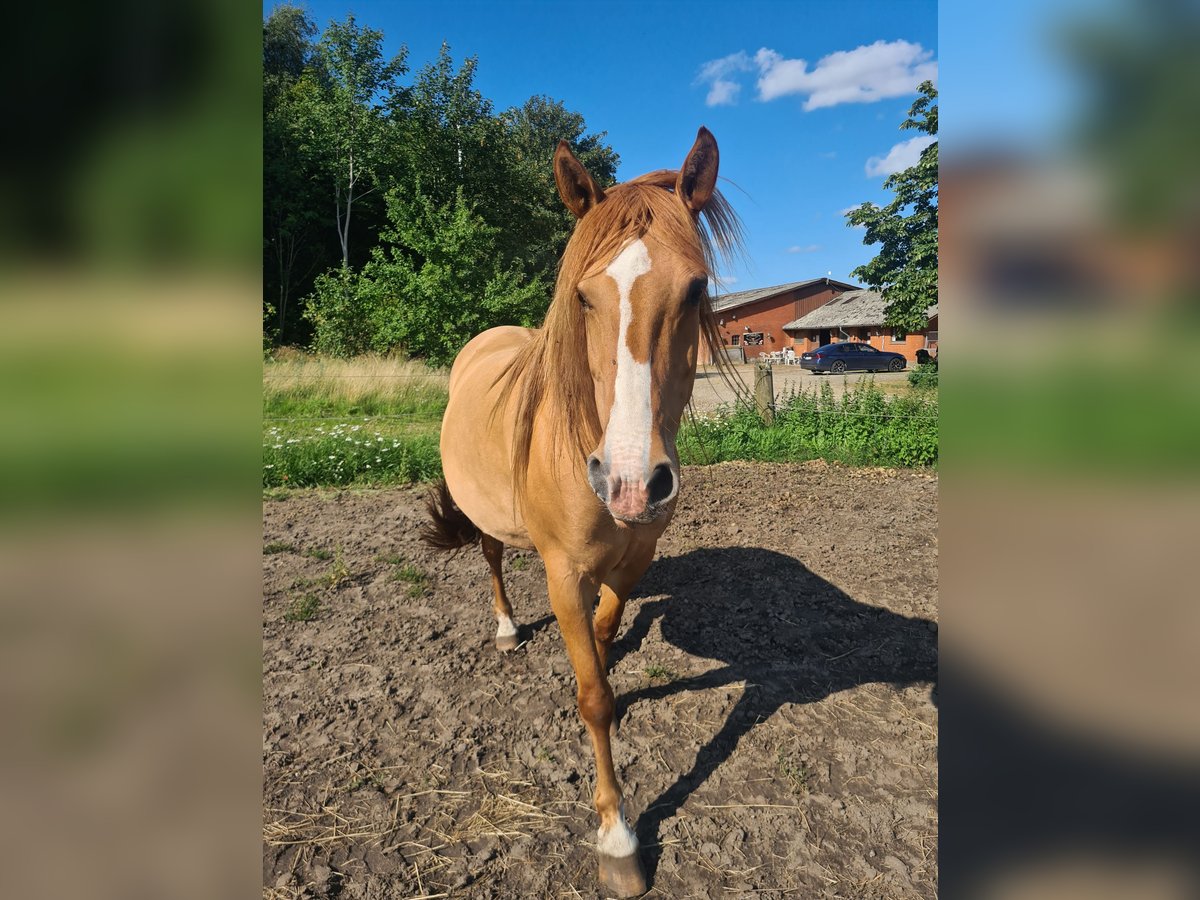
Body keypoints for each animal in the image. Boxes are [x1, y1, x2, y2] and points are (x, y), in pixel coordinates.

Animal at [422, 130, 739, 897]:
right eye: (583, 297)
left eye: (695, 288)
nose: (630, 483)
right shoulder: (563, 573)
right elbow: (592, 697)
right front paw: (618, 838)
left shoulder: (634, 561)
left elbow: (603, 635)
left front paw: (605, 649)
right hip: (490, 524)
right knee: (492, 559)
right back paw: (507, 628)